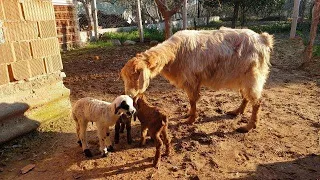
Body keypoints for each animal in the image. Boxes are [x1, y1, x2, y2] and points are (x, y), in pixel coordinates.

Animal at [121, 27, 274, 133]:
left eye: (136, 75)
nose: (129, 94)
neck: (176, 52)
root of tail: (262, 38)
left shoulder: (192, 81)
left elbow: (193, 100)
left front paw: (190, 120)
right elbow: (191, 101)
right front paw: (189, 114)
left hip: (253, 77)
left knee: (257, 102)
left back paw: (248, 126)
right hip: (243, 78)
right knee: (246, 97)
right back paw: (237, 112)